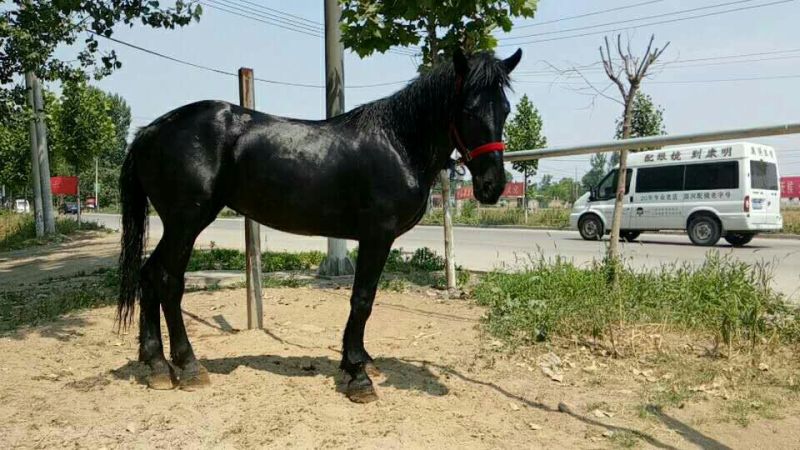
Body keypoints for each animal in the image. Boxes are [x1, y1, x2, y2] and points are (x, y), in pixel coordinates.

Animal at [117, 48, 522, 402]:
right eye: (468, 110)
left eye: (504, 109)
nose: (492, 186)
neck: (399, 143)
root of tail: (150, 131)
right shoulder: (377, 236)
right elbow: (362, 299)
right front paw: (358, 375)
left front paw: (359, 362)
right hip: (186, 222)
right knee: (168, 281)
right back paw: (188, 366)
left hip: (178, 225)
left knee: (149, 275)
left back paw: (157, 365)